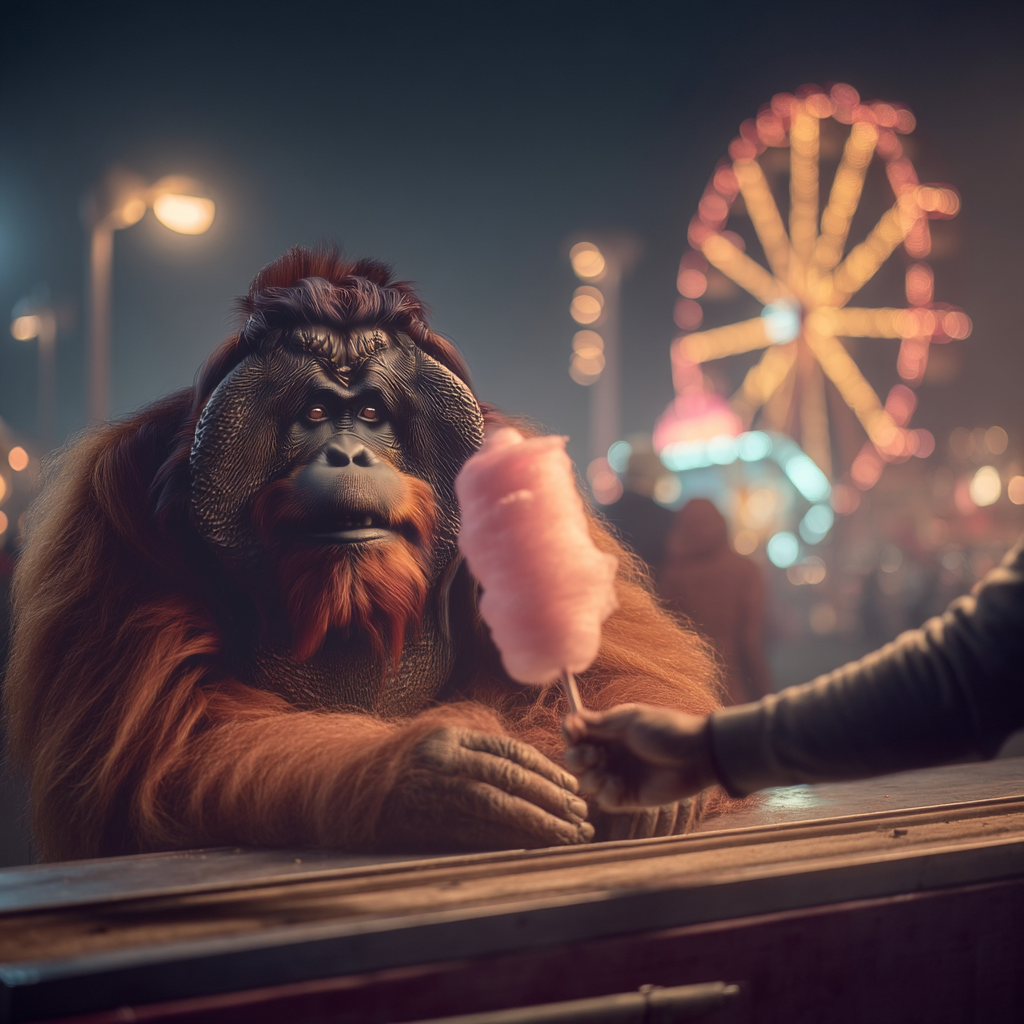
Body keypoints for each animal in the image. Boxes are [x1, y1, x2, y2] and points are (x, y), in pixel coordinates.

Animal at [4, 247, 724, 862]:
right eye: (318, 411)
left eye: (373, 414)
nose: (348, 454)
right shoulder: (113, 517)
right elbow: (161, 749)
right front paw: (441, 778)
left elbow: (616, 663)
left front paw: (636, 765)